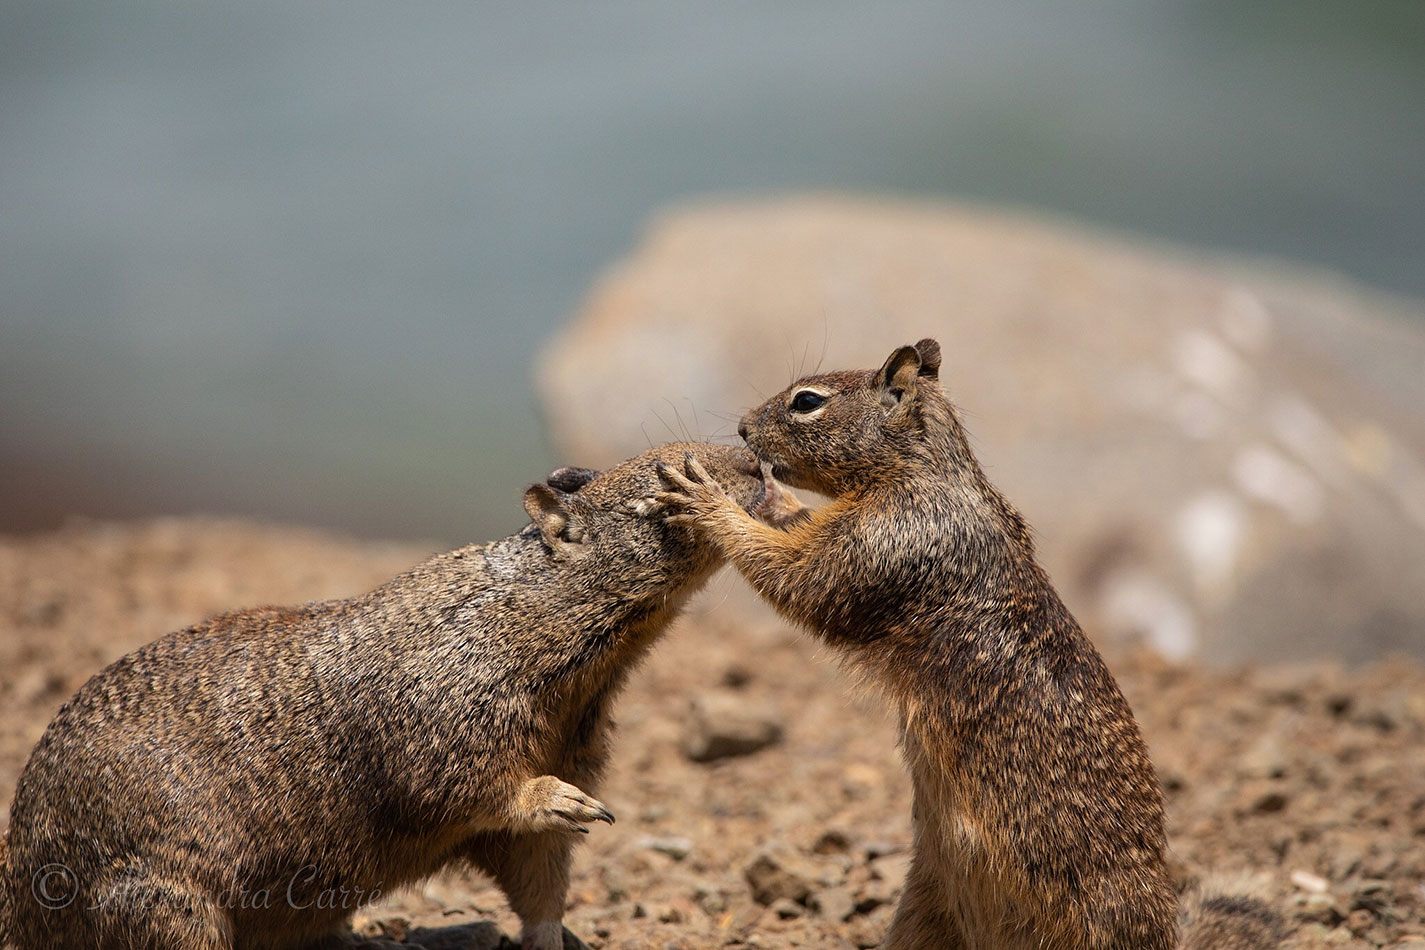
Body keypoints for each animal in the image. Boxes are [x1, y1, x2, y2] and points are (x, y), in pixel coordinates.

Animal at [2, 441, 769, 950]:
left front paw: (555, 932)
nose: (761, 464)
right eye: (667, 475)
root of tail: (21, 903)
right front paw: (561, 802)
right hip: (162, 901)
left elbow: (539, 881)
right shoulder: (457, 708)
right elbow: (469, 785)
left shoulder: (570, 749)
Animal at [652, 341, 1288, 950]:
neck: (923, 471)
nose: (740, 428)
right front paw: (766, 498)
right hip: (928, 899)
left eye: (807, 401)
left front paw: (704, 497)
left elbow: (797, 576)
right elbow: (795, 531)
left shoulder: (882, 543)